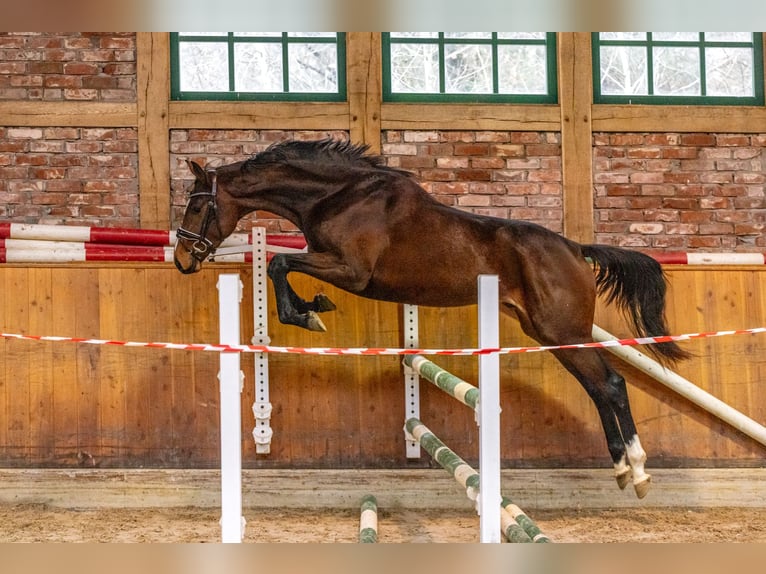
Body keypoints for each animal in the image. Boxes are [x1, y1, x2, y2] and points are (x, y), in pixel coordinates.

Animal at [177, 140, 692, 500]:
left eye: (198, 205)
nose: (183, 259)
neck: (338, 196)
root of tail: (575, 250)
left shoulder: (351, 270)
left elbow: (279, 263)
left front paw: (309, 313)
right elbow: (280, 264)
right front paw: (312, 308)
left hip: (563, 330)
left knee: (611, 385)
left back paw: (638, 470)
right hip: (550, 334)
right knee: (599, 388)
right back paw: (623, 469)